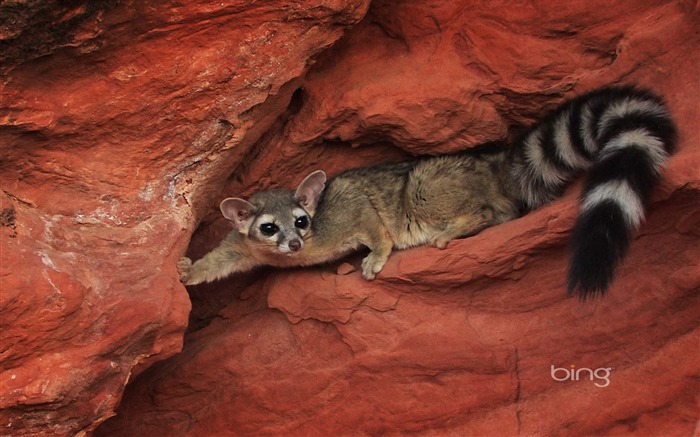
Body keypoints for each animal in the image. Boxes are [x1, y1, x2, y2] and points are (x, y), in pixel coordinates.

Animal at [180, 86, 680, 296]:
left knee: (490, 210)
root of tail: (491, 160)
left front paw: (378, 253)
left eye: (302, 221)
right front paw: (188, 271)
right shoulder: (245, 246)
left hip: (427, 187)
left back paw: (459, 225)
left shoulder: (346, 211)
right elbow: (221, 259)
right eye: (269, 228)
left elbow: (373, 222)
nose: (296, 243)